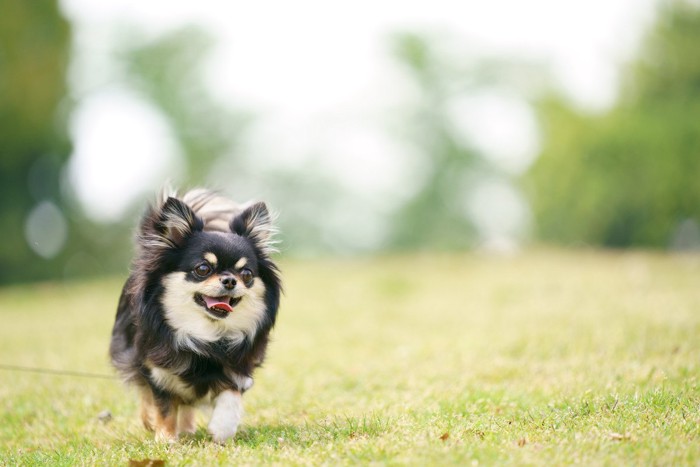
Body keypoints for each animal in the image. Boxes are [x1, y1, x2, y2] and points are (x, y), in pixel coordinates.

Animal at [109, 188, 282, 444]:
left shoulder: (239, 366)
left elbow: (231, 395)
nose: (230, 280)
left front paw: (221, 429)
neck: (207, 336)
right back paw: (151, 420)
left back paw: (188, 428)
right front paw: (166, 439)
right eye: (203, 269)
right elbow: (164, 405)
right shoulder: (157, 369)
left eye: (247, 274)